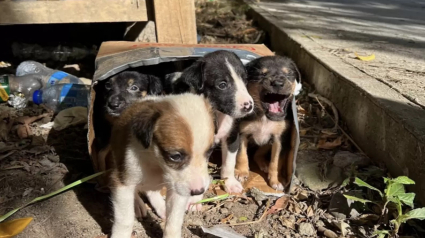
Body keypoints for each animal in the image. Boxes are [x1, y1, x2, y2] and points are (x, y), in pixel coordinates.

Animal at [109, 93, 215, 238]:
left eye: (209, 151)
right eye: (175, 156)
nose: (199, 191)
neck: (156, 163)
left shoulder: (177, 190)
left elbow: (173, 221)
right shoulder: (122, 183)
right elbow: (125, 219)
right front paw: (120, 234)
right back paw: (137, 205)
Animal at [165, 49, 252, 195]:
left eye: (245, 80)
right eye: (222, 85)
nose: (249, 106)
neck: (216, 114)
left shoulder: (232, 136)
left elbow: (229, 162)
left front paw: (230, 183)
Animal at [234, 55, 300, 192]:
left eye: (289, 74)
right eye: (261, 74)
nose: (278, 83)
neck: (265, 117)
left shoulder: (279, 140)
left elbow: (276, 162)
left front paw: (276, 181)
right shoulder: (242, 134)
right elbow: (241, 154)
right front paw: (242, 173)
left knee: (258, 154)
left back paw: (265, 165)